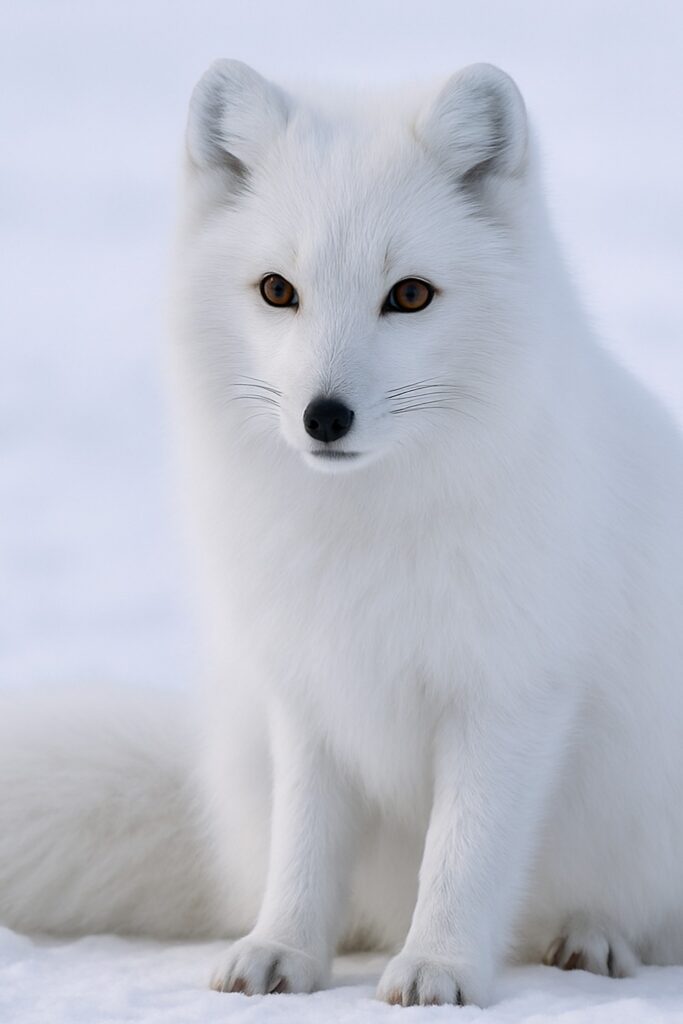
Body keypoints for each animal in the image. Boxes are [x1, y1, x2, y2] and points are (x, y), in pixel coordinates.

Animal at [1, 59, 683, 1008]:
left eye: (410, 295)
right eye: (277, 289)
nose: (323, 417)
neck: (363, 530)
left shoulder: (509, 692)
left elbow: (464, 854)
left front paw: (438, 969)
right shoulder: (307, 691)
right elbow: (305, 848)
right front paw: (282, 952)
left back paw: (594, 937)